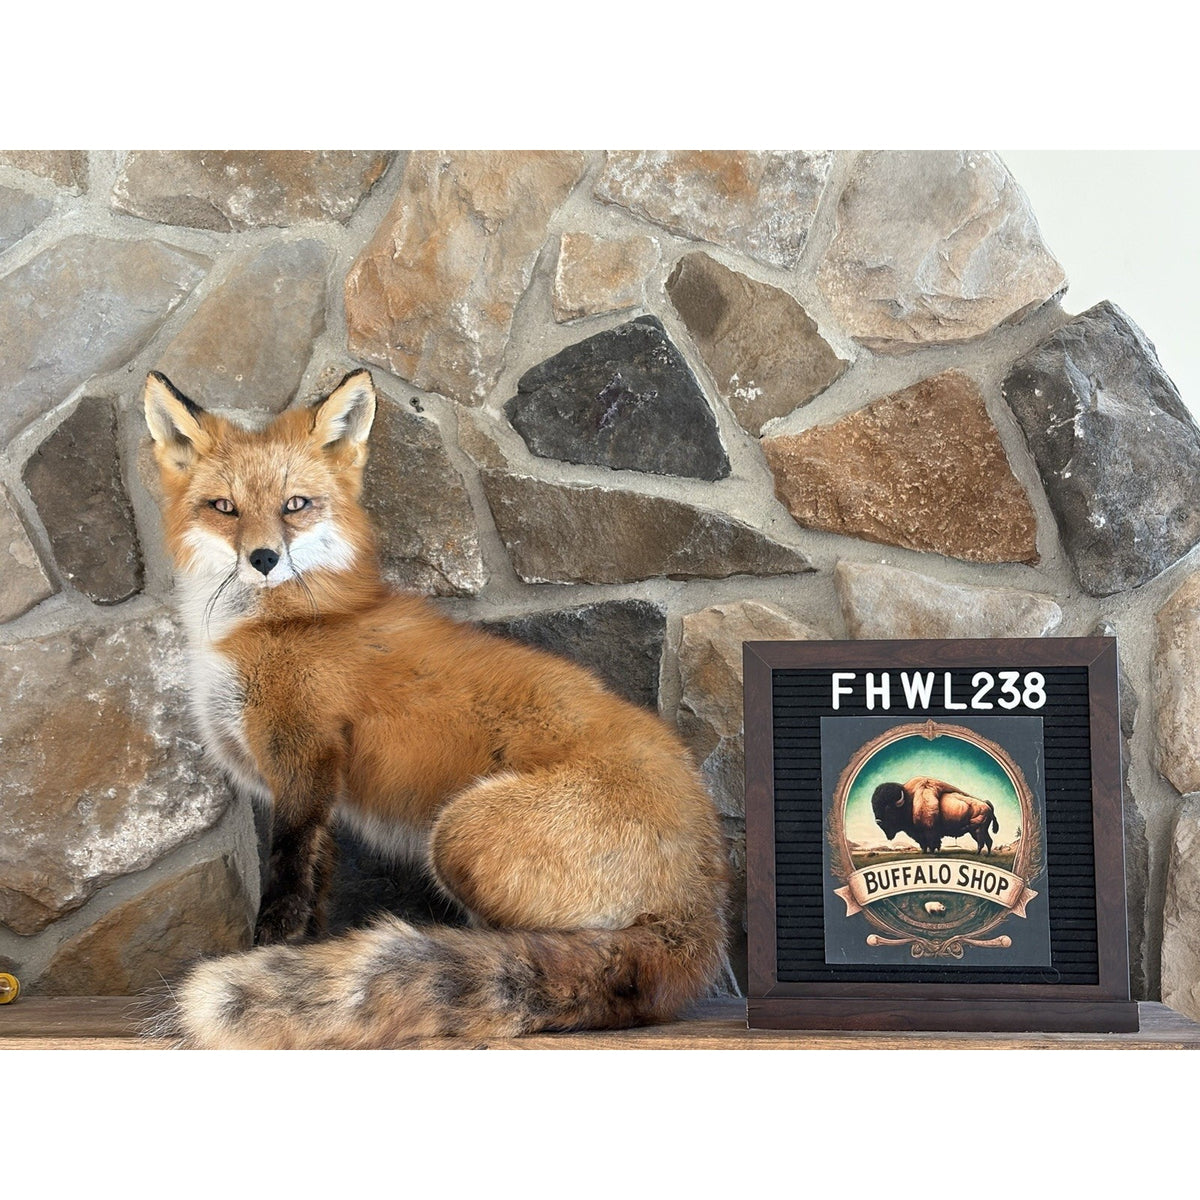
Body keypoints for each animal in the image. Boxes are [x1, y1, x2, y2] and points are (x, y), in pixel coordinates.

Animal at [141, 367, 730, 1048]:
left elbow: (285, 886)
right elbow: (314, 892)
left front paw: (265, 954)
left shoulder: (303, 758)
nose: (263, 559)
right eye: (224, 507)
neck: (273, 623)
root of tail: (703, 900)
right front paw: (296, 956)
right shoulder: (321, 791)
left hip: (459, 831)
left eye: (295, 505)